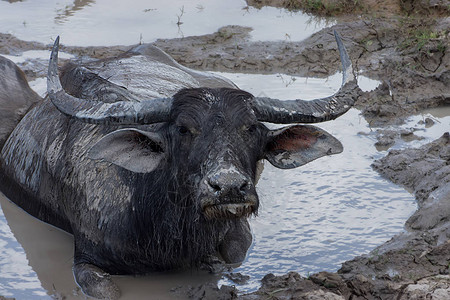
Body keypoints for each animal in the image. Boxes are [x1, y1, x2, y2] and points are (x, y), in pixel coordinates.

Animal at [0, 31, 358, 298]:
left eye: (251, 128)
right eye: (184, 129)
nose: (229, 187)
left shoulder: (237, 231)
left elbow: (232, 259)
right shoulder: (86, 262)